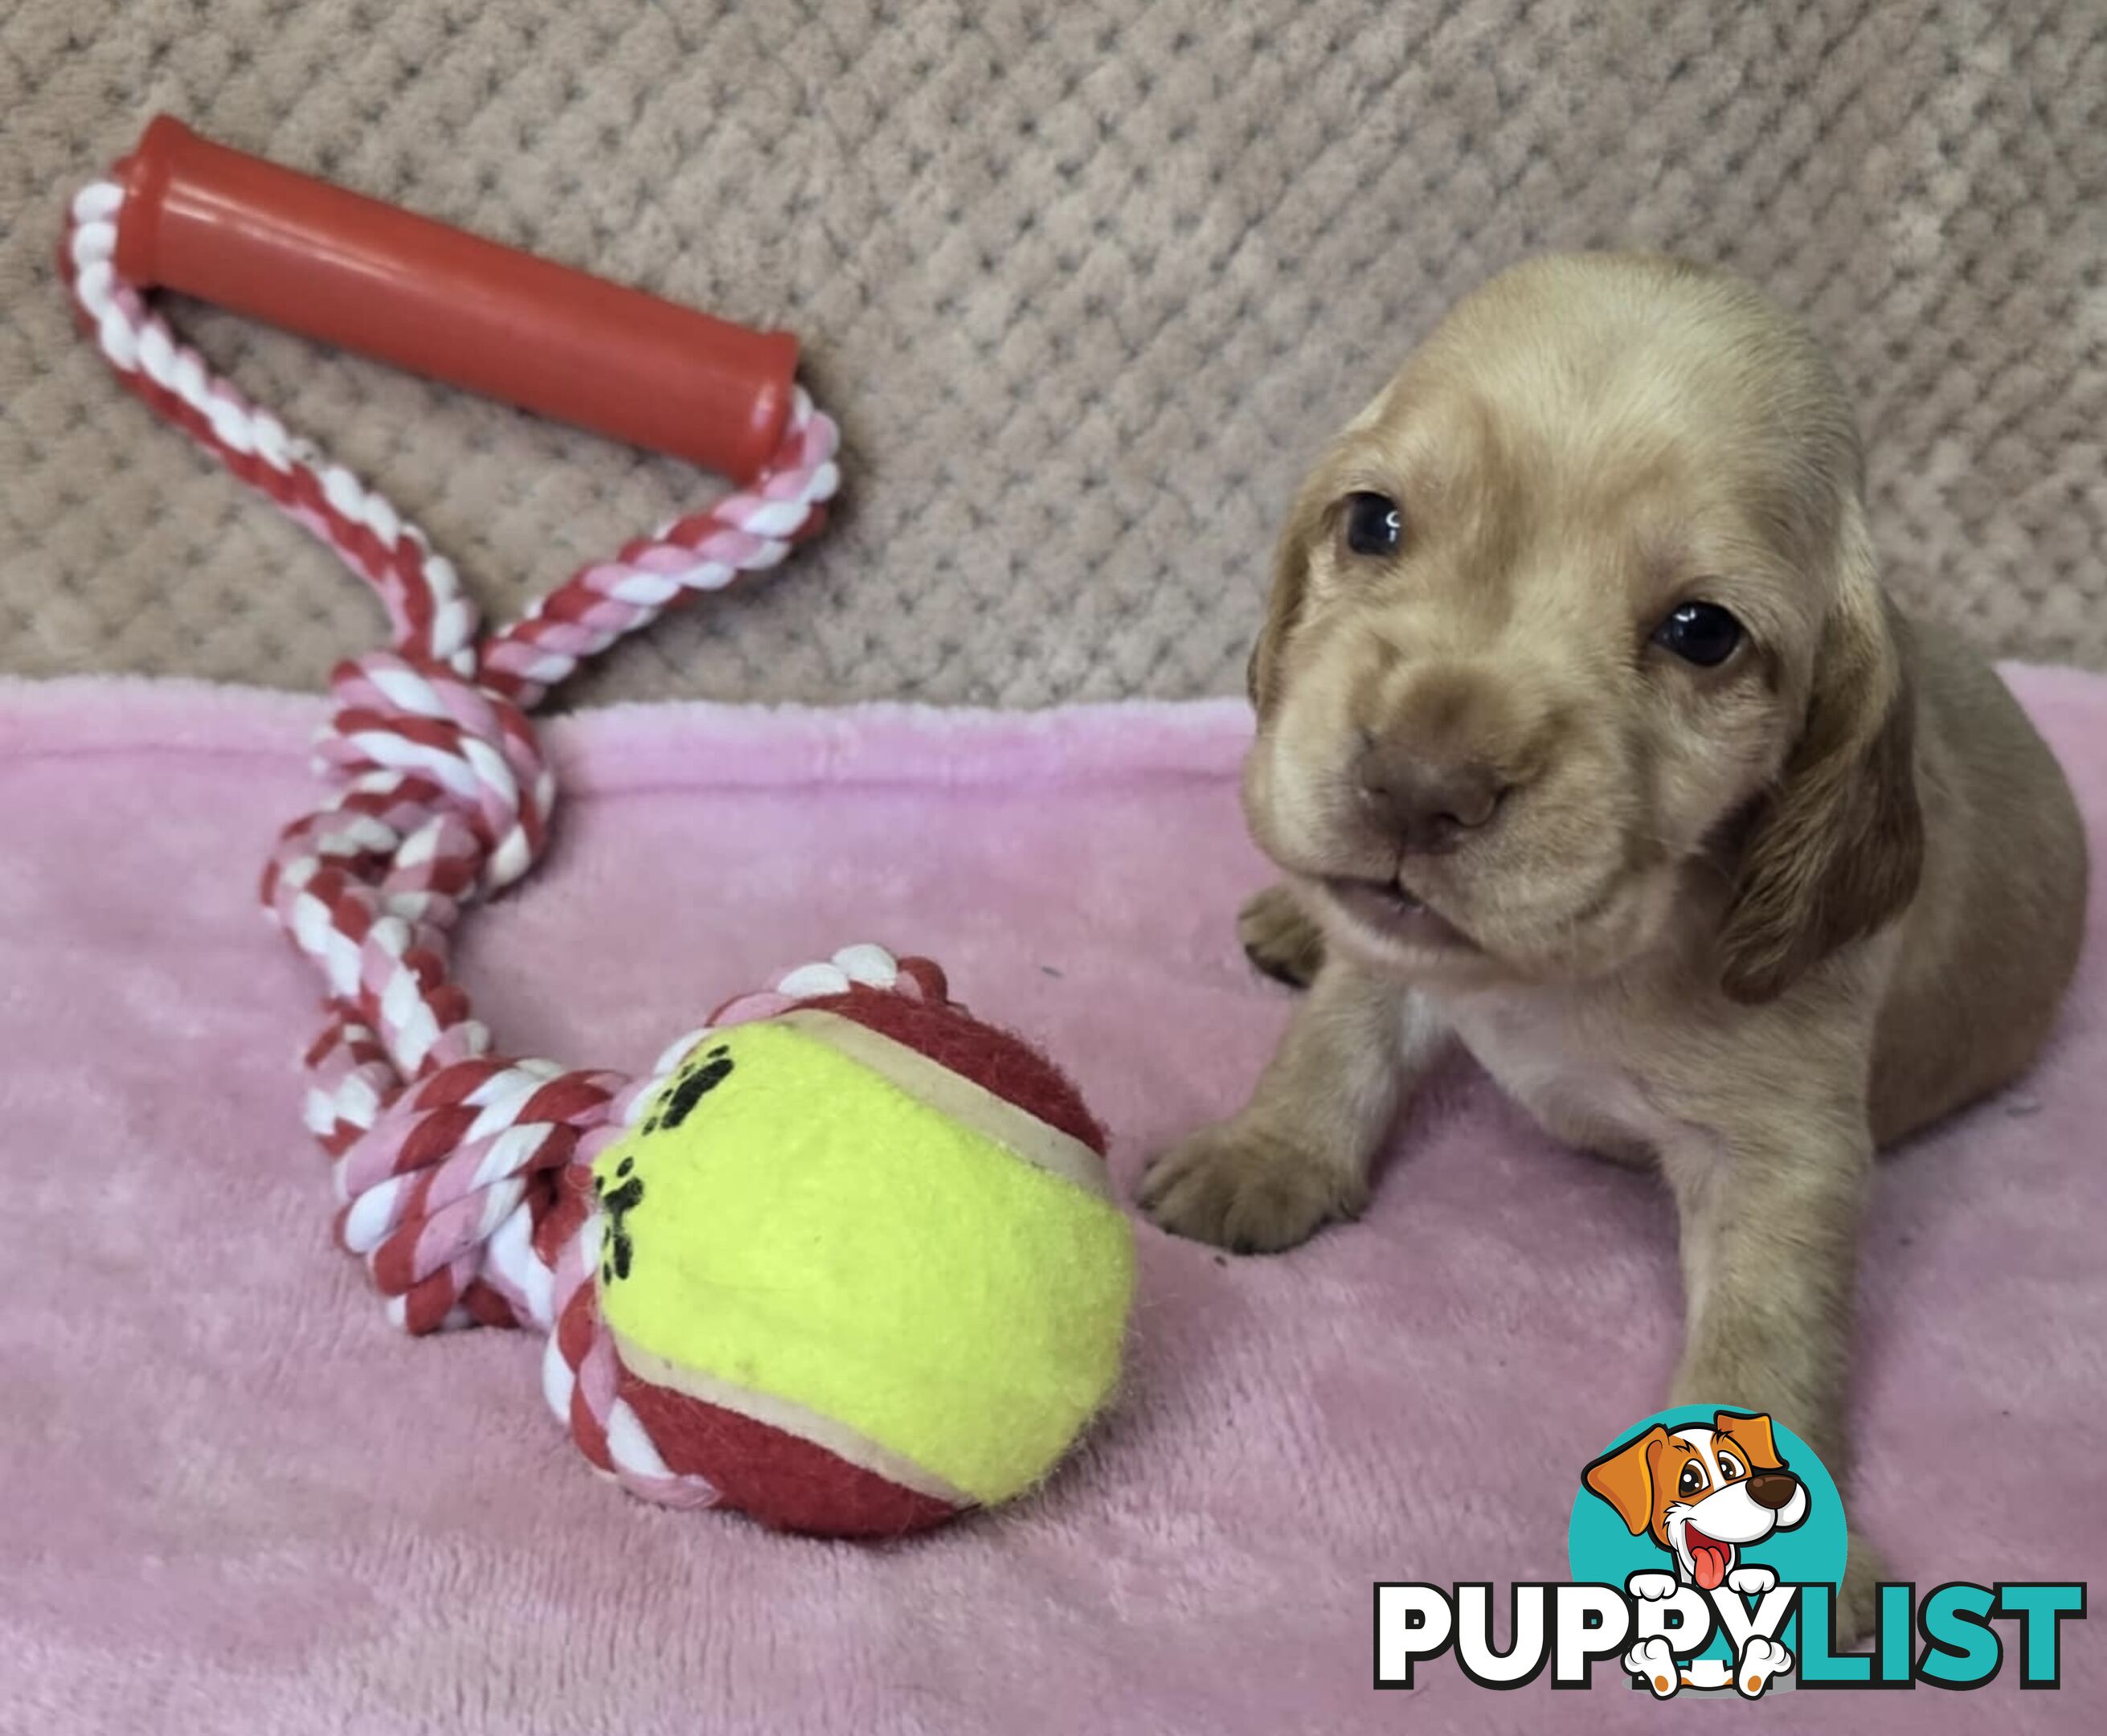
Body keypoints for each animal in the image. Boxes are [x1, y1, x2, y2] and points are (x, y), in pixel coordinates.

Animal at [1154, 250, 2090, 1635]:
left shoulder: (1783, 1155)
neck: (1560, 970)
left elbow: (1767, 1332)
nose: (1417, 786)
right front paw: (1267, 1153)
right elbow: (1337, 1033)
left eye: (1702, 633)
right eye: (1373, 524)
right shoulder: (1389, 955)